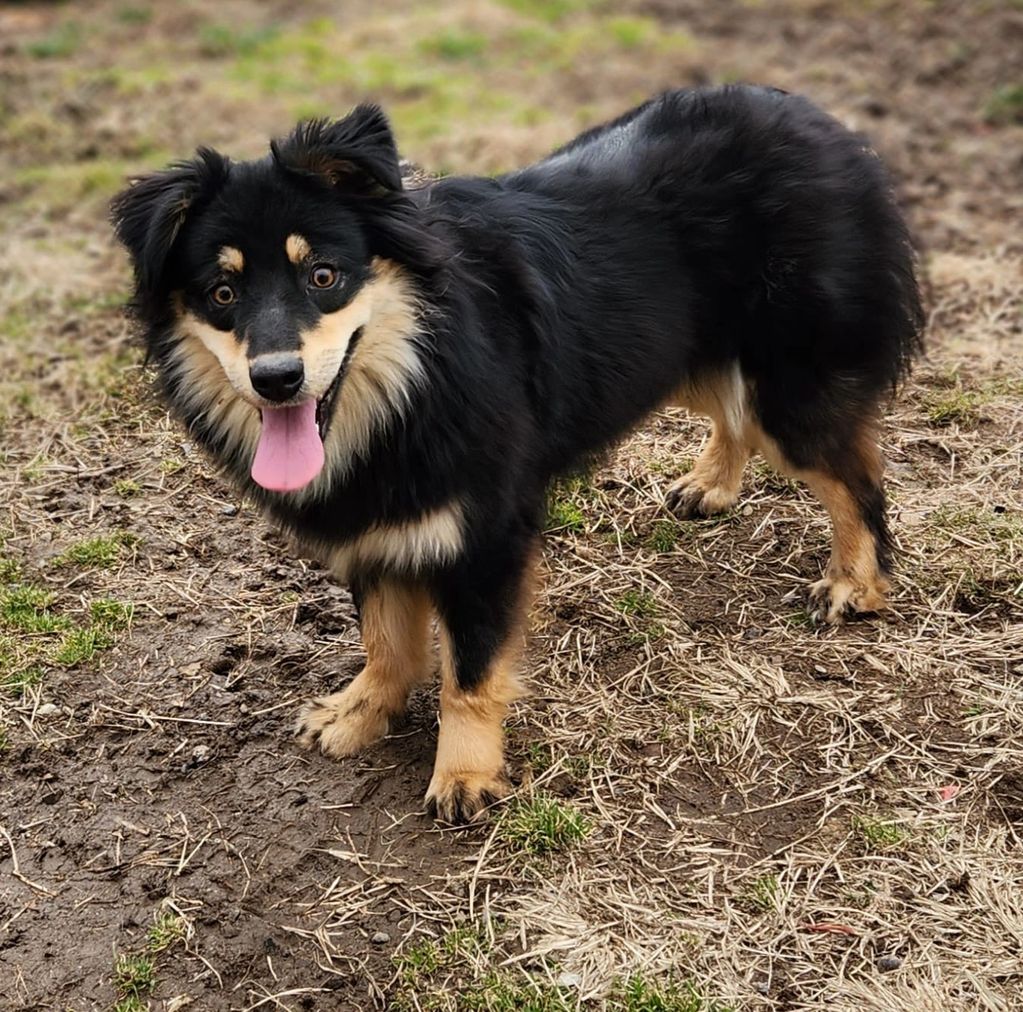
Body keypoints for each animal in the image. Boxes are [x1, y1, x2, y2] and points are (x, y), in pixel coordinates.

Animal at [111, 85, 923, 823]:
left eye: (324, 276)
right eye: (221, 294)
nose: (276, 378)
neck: (415, 378)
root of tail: (820, 120)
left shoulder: (484, 536)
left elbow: (468, 672)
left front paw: (465, 776)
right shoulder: (377, 526)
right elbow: (385, 644)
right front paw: (358, 714)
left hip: (787, 380)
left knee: (854, 478)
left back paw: (856, 584)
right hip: (680, 351)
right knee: (736, 416)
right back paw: (711, 484)